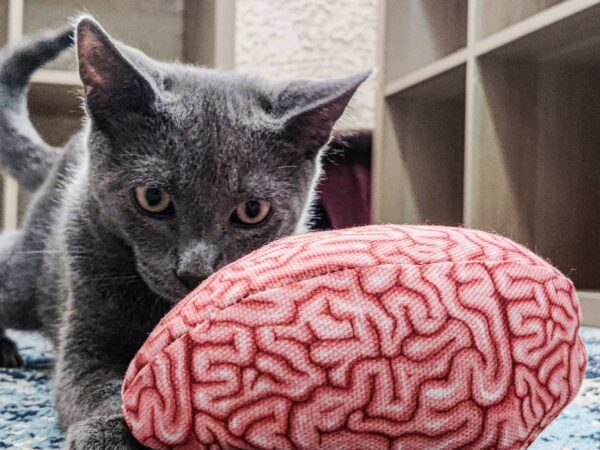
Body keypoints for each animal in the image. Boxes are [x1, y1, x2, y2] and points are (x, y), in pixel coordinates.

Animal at [0, 15, 370, 448]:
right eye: (153, 197)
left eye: (252, 211)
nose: (195, 270)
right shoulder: (85, 333)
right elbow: (95, 383)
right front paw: (108, 432)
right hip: (28, 276)